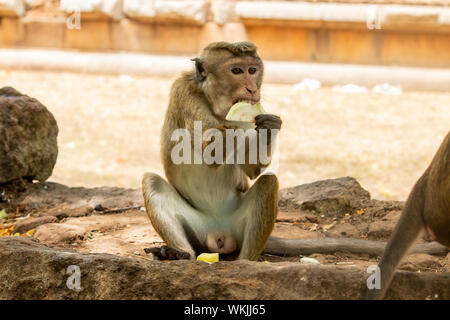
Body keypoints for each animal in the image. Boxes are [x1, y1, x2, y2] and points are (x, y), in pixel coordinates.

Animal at [142, 41, 282, 262]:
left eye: (252, 70)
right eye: (236, 70)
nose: (252, 89)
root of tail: (219, 232)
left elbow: (252, 169)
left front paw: (270, 126)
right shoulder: (185, 93)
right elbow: (211, 151)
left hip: (234, 224)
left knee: (268, 183)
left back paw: (245, 260)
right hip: (198, 227)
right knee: (152, 182)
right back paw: (180, 253)